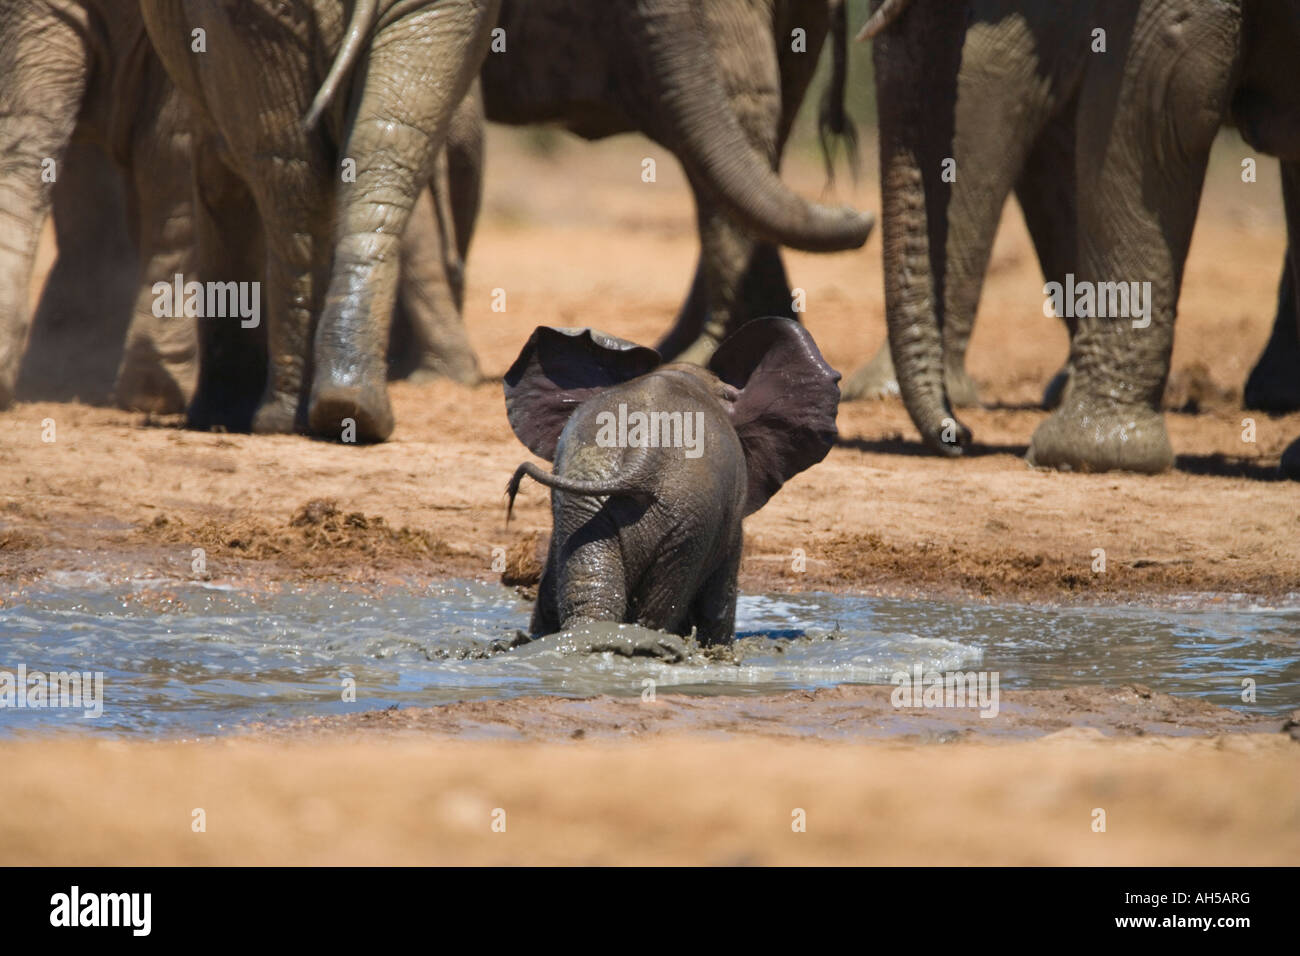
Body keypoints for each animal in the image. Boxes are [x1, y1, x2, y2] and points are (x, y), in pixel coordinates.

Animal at [139, 0, 499, 442]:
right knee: (376, 154)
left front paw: (215, 416)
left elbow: (219, 180)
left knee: (289, 177)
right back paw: (348, 407)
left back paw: (287, 419)